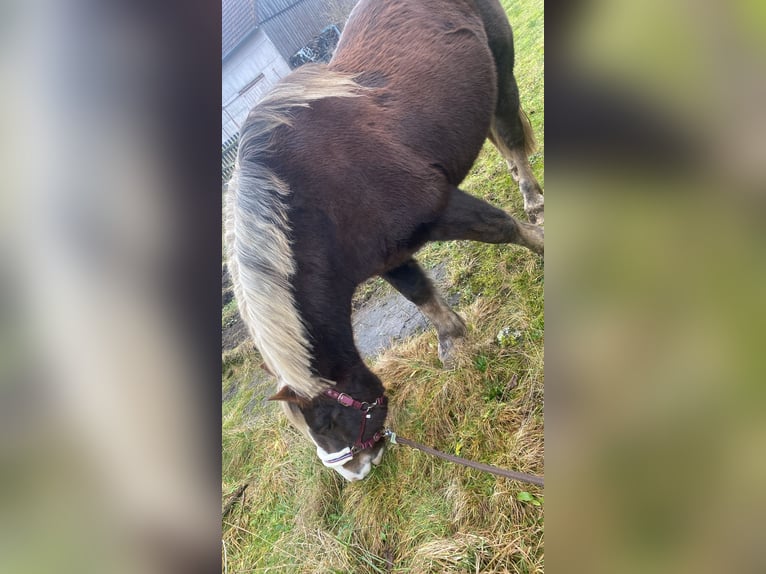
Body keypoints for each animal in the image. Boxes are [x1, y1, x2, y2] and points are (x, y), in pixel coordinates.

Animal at [225, 0, 544, 484]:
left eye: (326, 421)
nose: (356, 472)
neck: (320, 201)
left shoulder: (439, 208)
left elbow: (501, 229)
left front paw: (543, 244)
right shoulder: (388, 255)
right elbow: (419, 293)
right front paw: (452, 342)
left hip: (502, 70)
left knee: (509, 133)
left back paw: (533, 198)